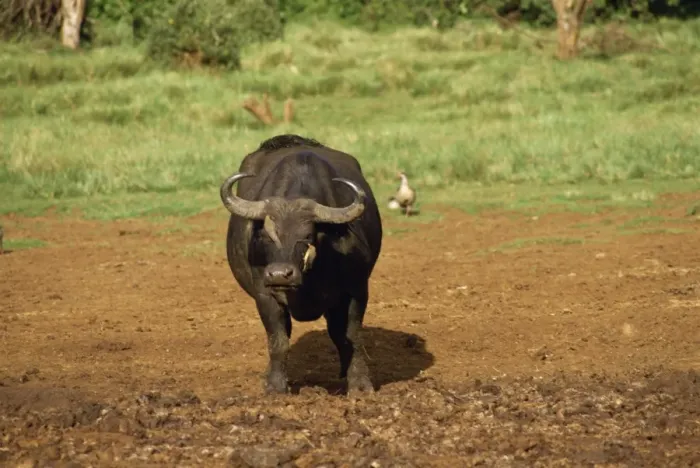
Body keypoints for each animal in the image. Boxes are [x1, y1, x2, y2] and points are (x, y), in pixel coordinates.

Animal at [219, 134, 383, 394]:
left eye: (307, 236)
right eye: (266, 234)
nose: (279, 274)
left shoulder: (356, 291)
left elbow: (351, 336)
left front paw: (359, 385)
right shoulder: (265, 294)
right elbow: (278, 341)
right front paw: (275, 387)